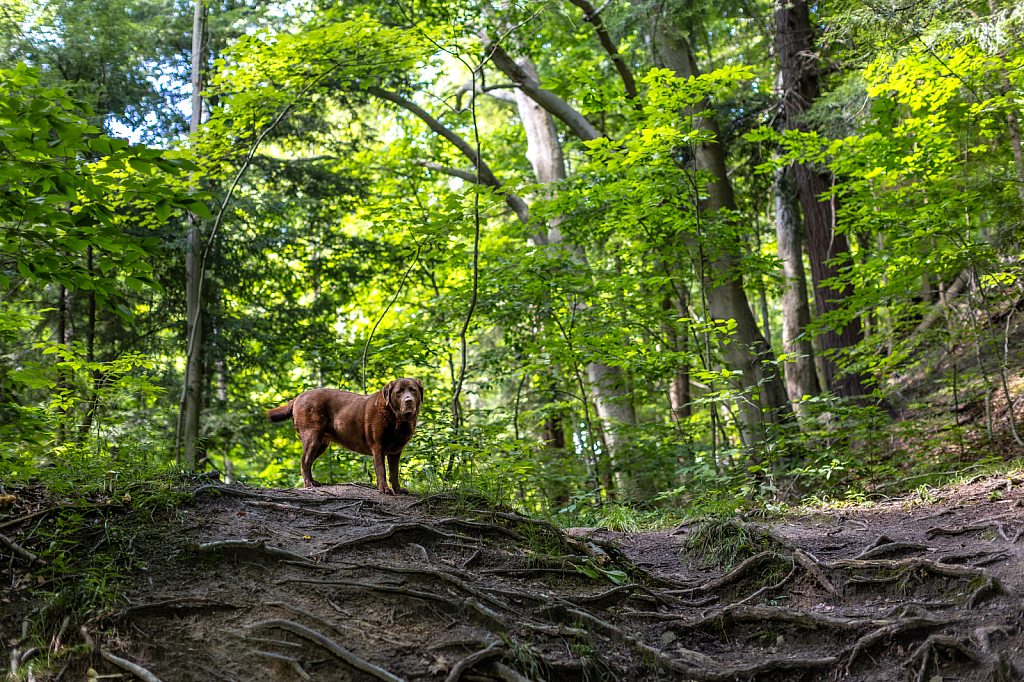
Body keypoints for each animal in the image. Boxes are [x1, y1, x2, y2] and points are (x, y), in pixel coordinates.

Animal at [268, 376, 423, 493]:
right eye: (399, 392)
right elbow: (381, 470)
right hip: (312, 437)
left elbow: (394, 472)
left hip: (321, 444)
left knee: (308, 461)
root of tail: (298, 397)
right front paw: (384, 489)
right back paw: (308, 483)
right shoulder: (378, 446)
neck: (396, 419)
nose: (408, 401)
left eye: (413, 390)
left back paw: (312, 481)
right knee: (305, 460)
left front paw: (398, 490)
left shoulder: (395, 451)